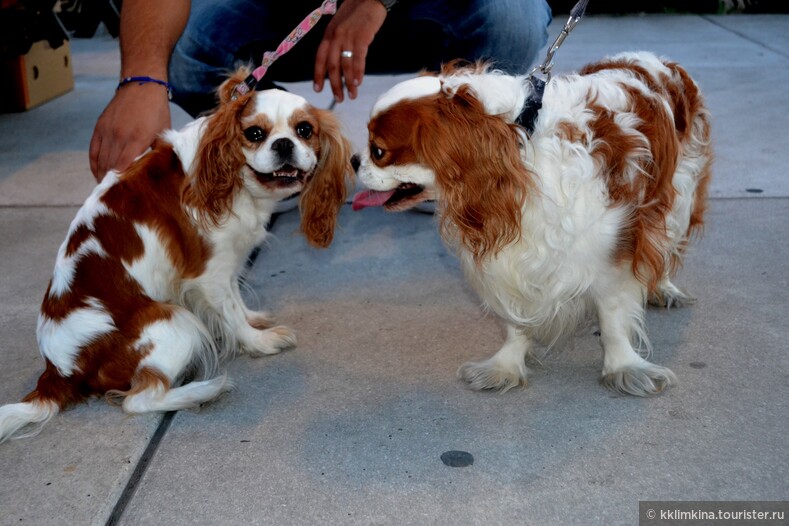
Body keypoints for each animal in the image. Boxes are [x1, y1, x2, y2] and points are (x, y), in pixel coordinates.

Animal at [0, 69, 350, 442]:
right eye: (255, 134)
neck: (231, 177)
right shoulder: (207, 274)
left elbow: (236, 301)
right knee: (138, 400)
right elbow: (231, 314)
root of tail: (56, 372)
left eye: (304, 130)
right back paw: (203, 390)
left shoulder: (226, 263)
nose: (283, 144)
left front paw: (254, 319)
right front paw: (258, 341)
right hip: (172, 320)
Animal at [354, 53, 712, 398]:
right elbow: (517, 318)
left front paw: (623, 367)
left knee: (665, 244)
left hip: (679, 196)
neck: (519, 144)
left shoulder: (614, 247)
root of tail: (658, 60)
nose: (355, 161)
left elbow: (612, 316)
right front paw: (506, 365)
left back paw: (663, 287)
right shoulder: (515, 253)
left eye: (379, 151)